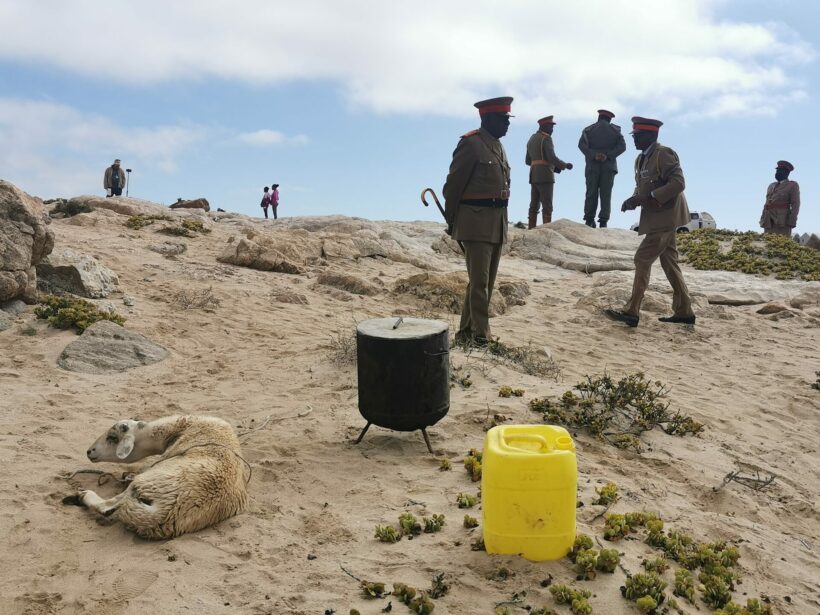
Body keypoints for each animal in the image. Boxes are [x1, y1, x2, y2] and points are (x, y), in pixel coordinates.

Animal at [63, 415, 249, 539]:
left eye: (112, 437)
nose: (89, 452)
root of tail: (163, 515)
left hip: (146, 481)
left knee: (108, 506)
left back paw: (82, 496)